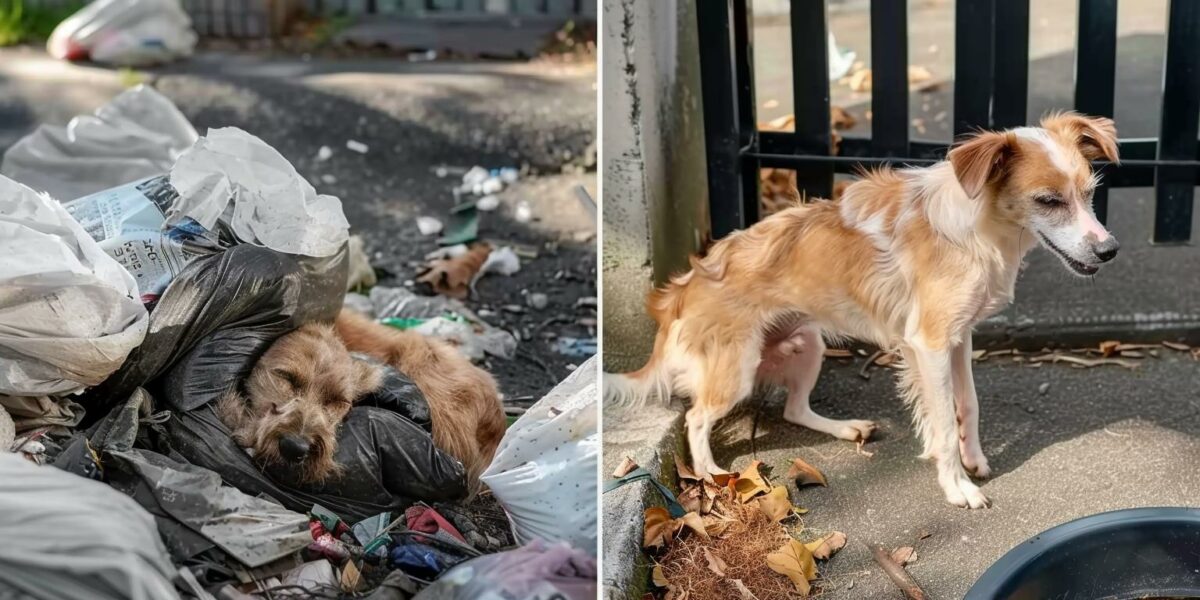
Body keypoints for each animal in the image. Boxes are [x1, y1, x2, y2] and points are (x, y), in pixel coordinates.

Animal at [609, 111, 1123, 506]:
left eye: (1090, 193)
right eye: (1048, 201)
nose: (1109, 251)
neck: (980, 230)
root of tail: (681, 290)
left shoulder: (958, 337)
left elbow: (968, 404)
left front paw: (973, 458)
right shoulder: (930, 344)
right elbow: (942, 422)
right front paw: (956, 486)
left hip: (807, 345)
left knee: (794, 410)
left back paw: (847, 429)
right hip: (735, 369)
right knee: (696, 419)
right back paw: (713, 473)